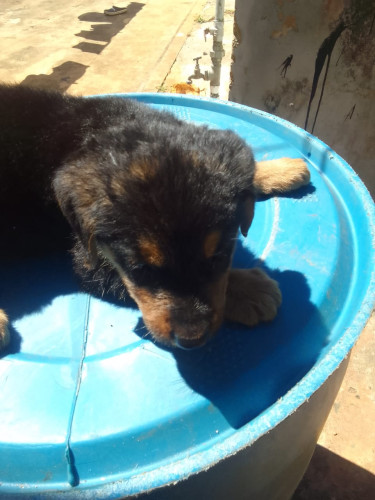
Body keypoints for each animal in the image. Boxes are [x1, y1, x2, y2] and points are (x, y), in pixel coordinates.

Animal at [0, 85, 312, 352]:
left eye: (218, 258)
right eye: (141, 271)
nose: (191, 340)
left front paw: (280, 169)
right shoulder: (87, 259)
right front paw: (250, 289)